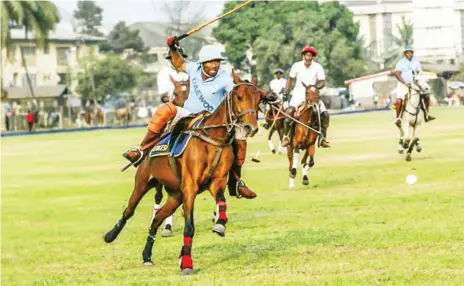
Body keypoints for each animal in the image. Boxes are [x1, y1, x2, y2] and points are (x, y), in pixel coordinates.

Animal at [103, 72, 276, 276]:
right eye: (239, 97)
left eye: (259, 99)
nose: (251, 127)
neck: (213, 139)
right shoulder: (190, 187)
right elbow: (189, 226)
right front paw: (186, 263)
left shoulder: (215, 182)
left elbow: (222, 201)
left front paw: (220, 224)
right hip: (143, 182)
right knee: (129, 211)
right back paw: (111, 234)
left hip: (175, 196)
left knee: (156, 219)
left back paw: (147, 256)